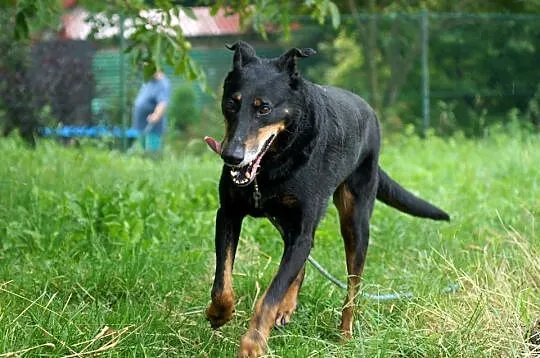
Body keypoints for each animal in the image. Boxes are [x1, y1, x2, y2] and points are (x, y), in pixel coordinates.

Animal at [202, 41, 448, 356]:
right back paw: (288, 307)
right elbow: (223, 284)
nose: (231, 156)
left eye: (264, 108)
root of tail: (370, 113)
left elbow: (270, 295)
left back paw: (344, 334)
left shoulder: (301, 231)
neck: (271, 165)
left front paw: (253, 342)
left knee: (352, 287)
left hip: (355, 223)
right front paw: (219, 313)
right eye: (232, 104)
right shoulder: (229, 214)